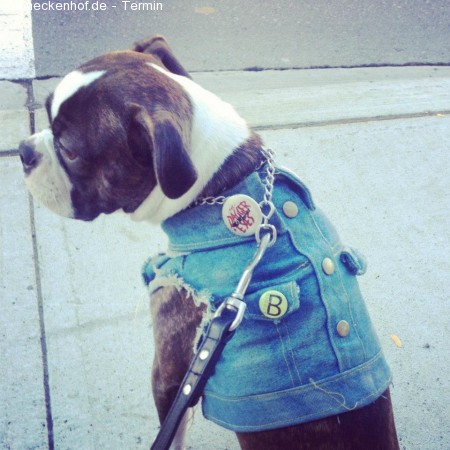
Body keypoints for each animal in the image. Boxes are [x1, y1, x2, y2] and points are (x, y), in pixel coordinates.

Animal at [18, 36, 398, 450]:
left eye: (69, 149)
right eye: (45, 116)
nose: (23, 151)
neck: (223, 183)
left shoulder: (172, 371)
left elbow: (173, 429)